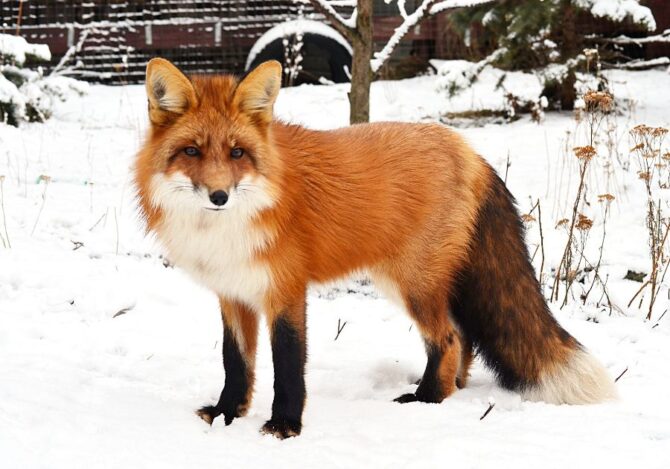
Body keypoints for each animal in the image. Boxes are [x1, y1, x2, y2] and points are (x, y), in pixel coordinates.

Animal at [134, 58, 617, 439]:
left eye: (237, 153)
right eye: (192, 152)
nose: (219, 196)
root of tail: (469, 150)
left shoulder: (285, 290)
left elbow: (288, 364)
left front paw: (285, 426)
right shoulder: (233, 293)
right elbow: (235, 363)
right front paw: (226, 414)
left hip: (412, 285)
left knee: (447, 339)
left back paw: (426, 399)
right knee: (462, 339)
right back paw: (449, 391)